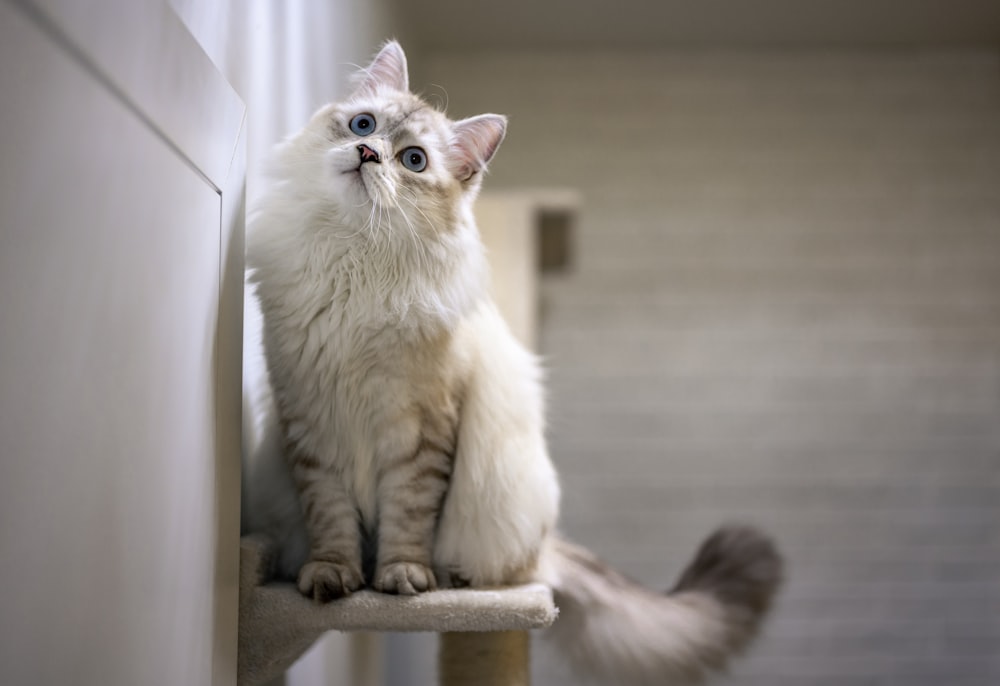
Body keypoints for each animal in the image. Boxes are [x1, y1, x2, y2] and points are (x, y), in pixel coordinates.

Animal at [242, 40, 780, 684]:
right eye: (363, 125)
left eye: (414, 161)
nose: (367, 153)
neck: (354, 262)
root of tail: (547, 542)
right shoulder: (310, 421)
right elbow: (331, 520)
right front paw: (333, 579)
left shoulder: (422, 427)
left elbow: (407, 518)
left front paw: (401, 581)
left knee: (517, 573)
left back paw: (454, 580)